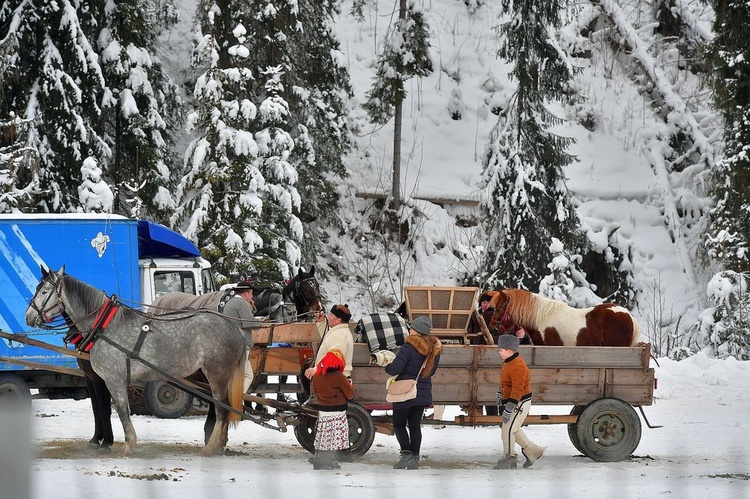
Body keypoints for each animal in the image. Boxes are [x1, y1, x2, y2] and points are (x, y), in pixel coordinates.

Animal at [27, 266, 247, 458]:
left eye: (44, 291)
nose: (28, 316)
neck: (104, 327)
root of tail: (233, 326)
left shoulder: (112, 380)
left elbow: (119, 410)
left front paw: (125, 444)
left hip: (216, 373)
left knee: (221, 409)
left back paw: (211, 447)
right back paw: (218, 444)